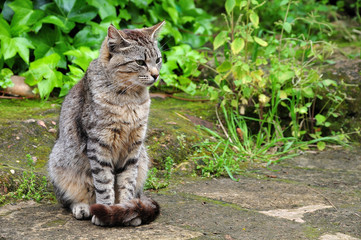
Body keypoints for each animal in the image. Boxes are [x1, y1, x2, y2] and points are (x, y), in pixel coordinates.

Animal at [48, 21, 165, 227]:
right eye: (140, 62)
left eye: (158, 59)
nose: (156, 75)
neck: (130, 100)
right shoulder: (99, 144)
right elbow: (104, 184)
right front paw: (105, 211)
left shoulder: (134, 147)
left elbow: (127, 182)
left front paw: (126, 209)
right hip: (59, 162)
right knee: (70, 199)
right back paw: (83, 207)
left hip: (143, 159)